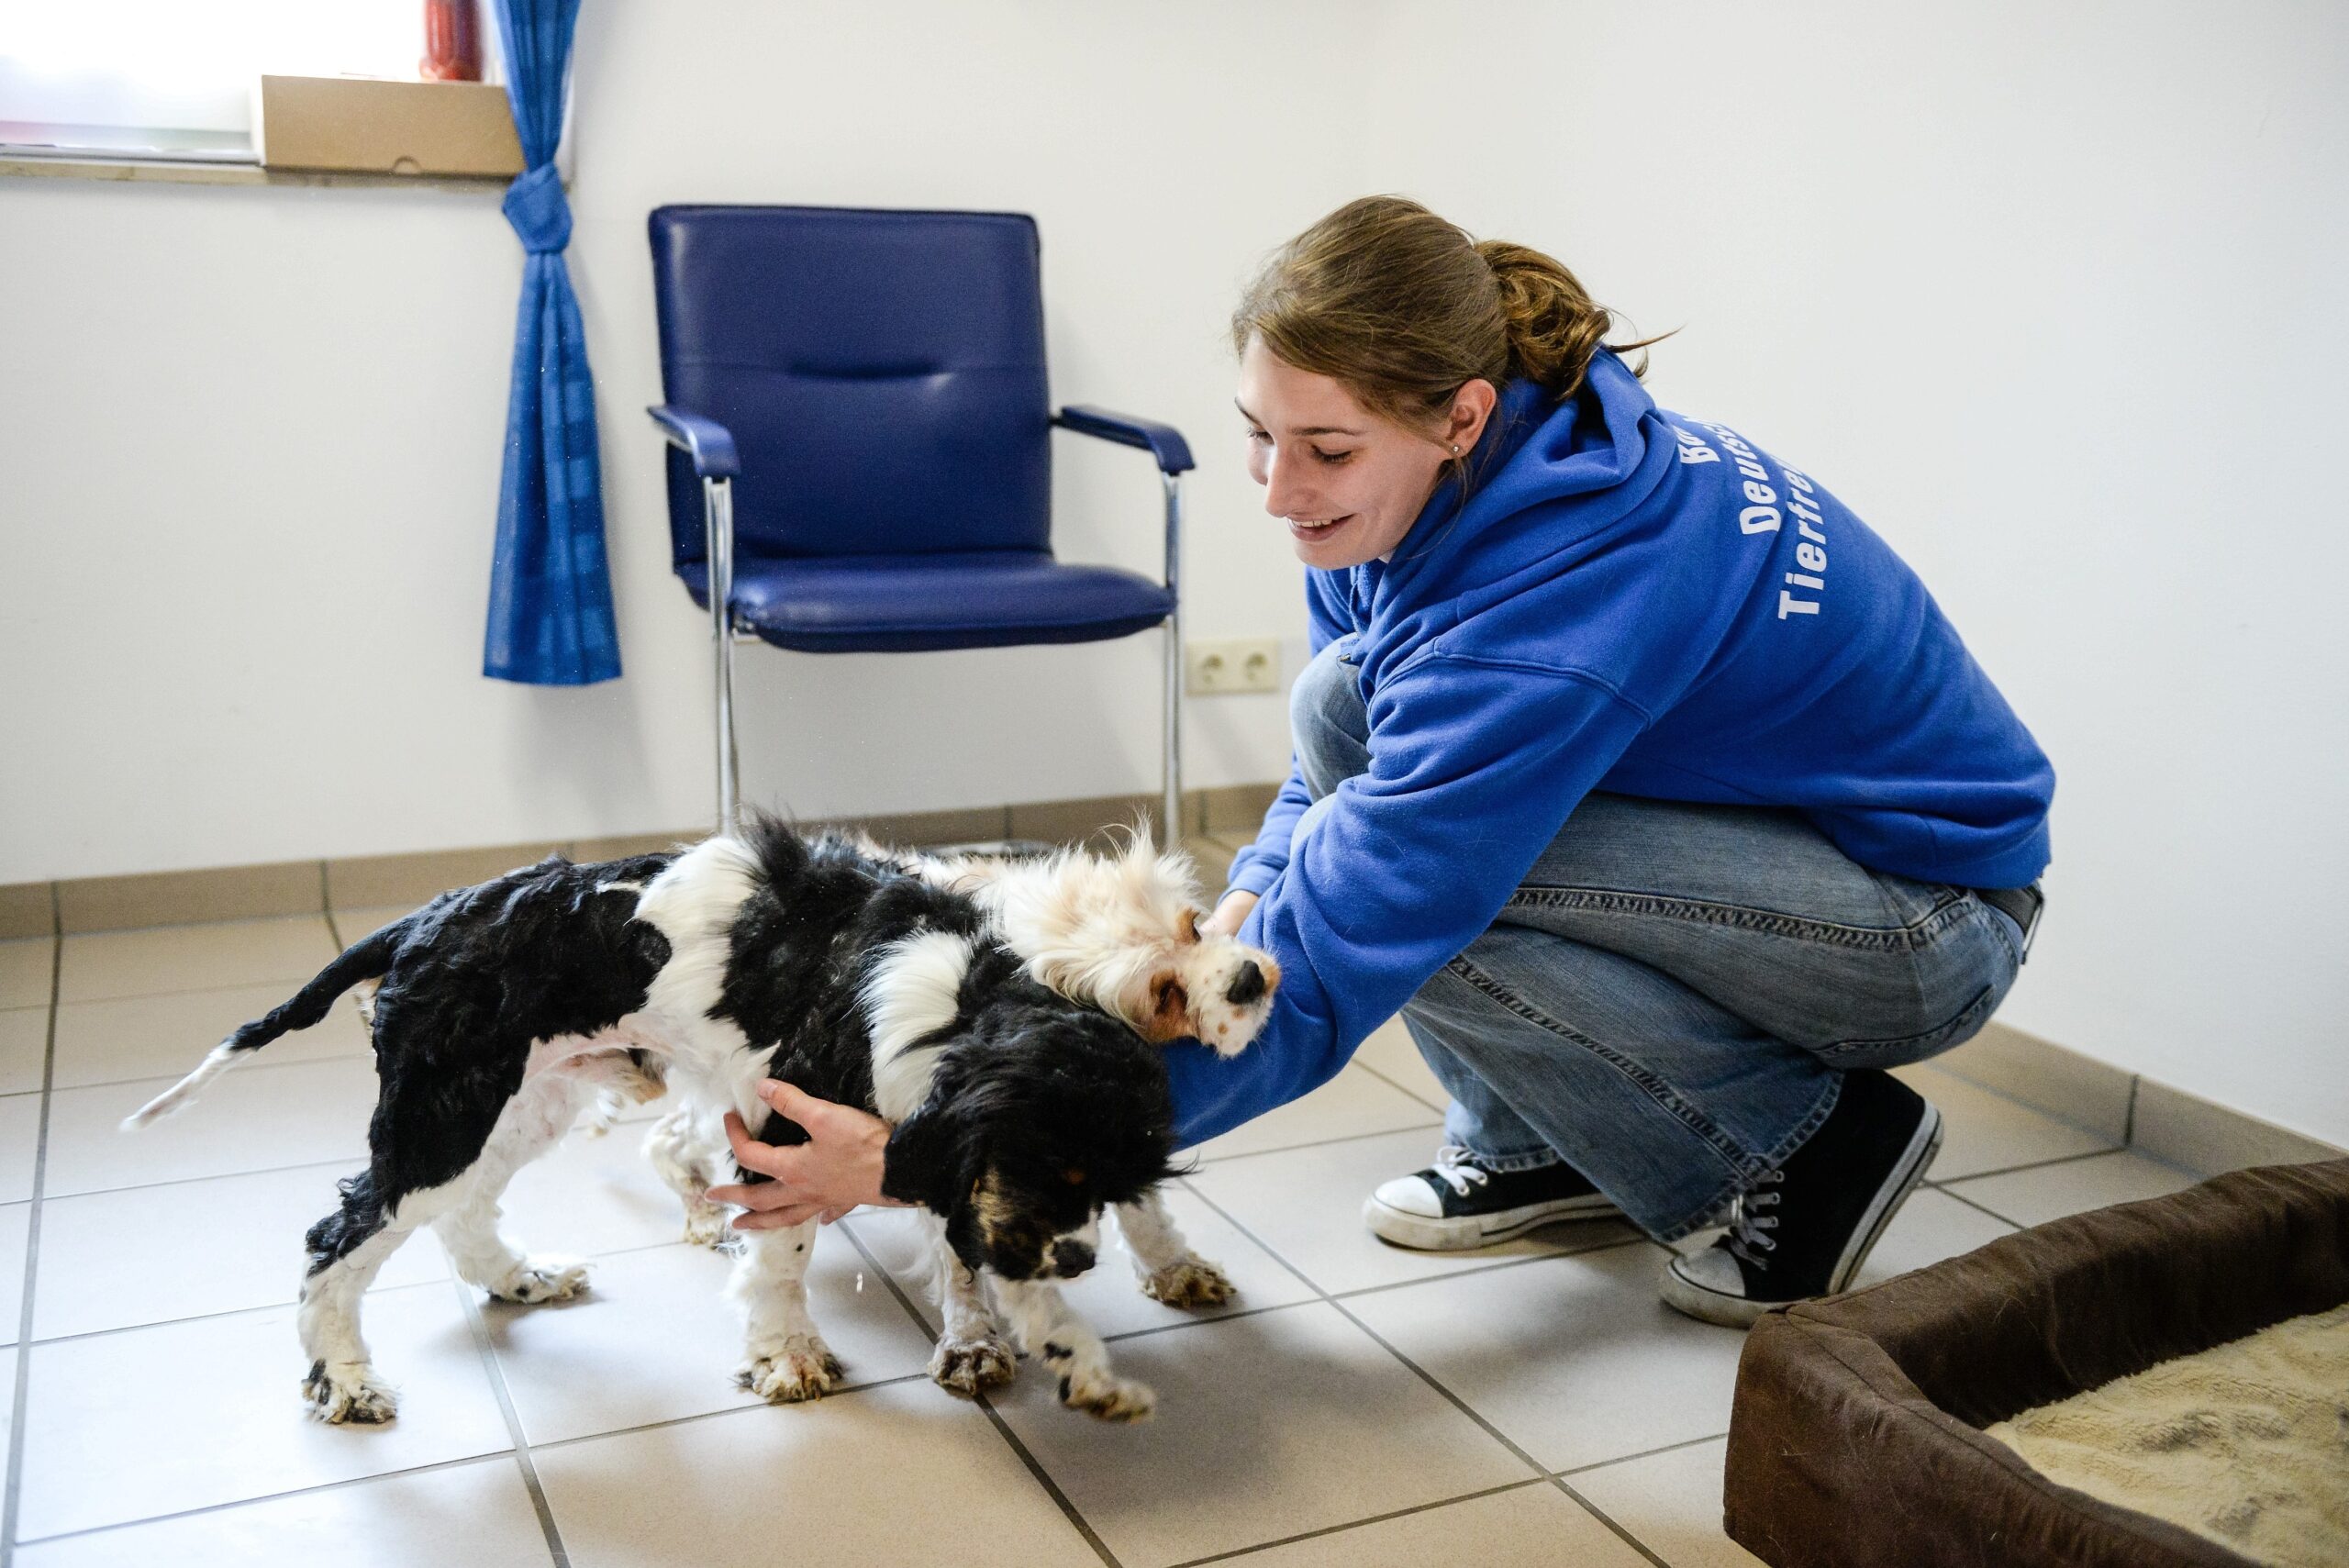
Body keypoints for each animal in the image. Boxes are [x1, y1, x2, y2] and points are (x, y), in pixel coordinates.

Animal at [124, 826, 1286, 1427]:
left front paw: (1082, 1363)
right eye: (1059, 1164)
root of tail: (427, 915)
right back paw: (347, 1378)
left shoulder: (953, 1165)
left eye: (1112, 1179)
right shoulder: (794, 1130)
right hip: (443, 1114)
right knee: (336, 1239)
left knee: (461, 1216)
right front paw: (788, 1356)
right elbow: (787, 1260)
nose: (1084, 1254)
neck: (961, 990)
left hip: (523, 1096)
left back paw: (518, 1278)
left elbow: (1003, 1266)